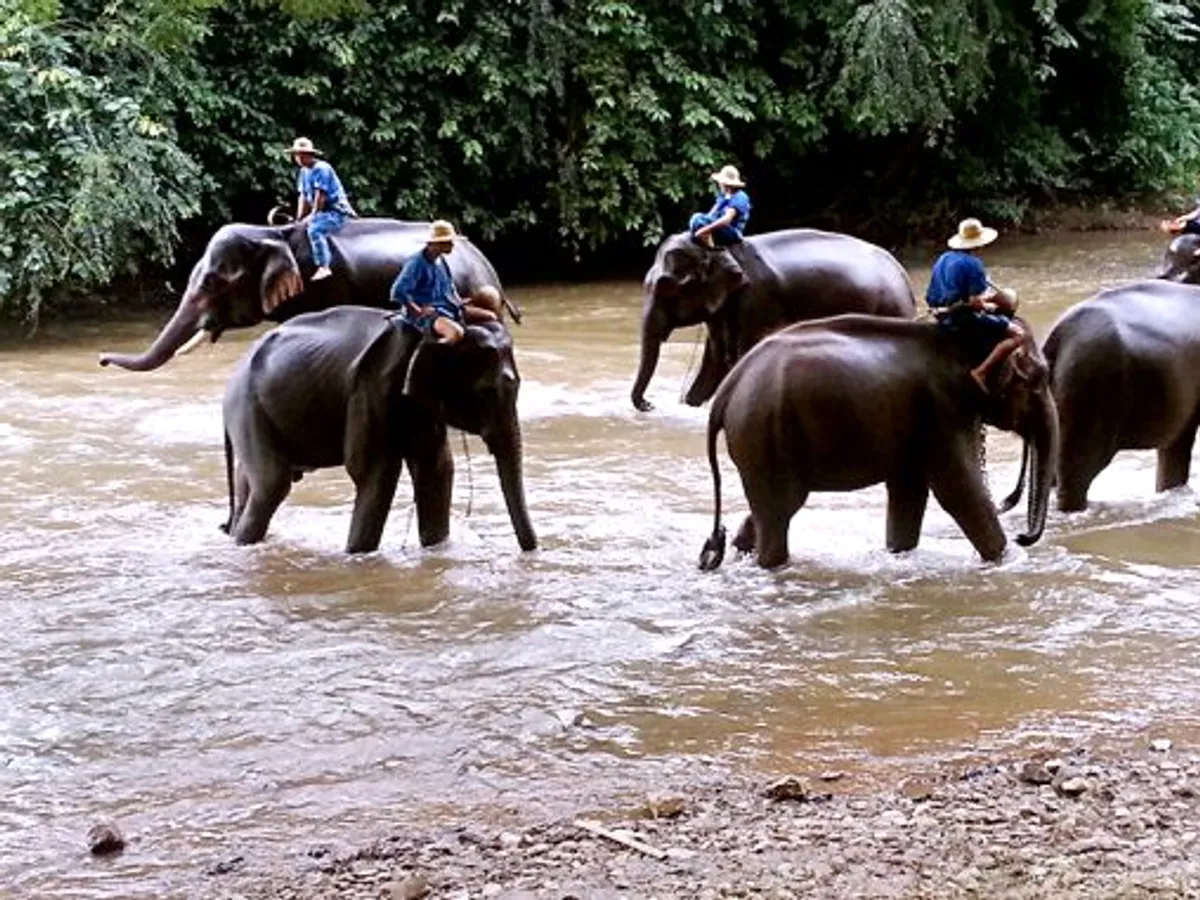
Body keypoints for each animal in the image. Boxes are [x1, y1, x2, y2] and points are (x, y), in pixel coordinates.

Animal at [221, 306, 537, 554]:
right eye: (485, 393)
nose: (530, 552)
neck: (429, 335)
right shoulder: (370, 388)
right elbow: (374, 471)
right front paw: (357, 555)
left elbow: (435, 468)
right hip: (247, 406)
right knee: (272, 483)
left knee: (249, 481)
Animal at [630, 228, 917, 412]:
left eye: (667, 286)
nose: (649, 404)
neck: (721, 248)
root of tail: (903, 275)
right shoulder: (722, 307)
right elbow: (716, 360)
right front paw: (692, 405)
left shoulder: (756, 301)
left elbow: (741, 356)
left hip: (889, 309)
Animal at [697, 315, 1058, 571]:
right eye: (1038, 380)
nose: (1022, 536)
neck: (962, 338)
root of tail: (727, 390)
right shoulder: (943, 408)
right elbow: (958, 490)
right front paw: (1005, 561)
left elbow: (910, 491)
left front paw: (898, 553)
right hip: (765, 432)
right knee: (780, 512)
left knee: (768, 511)